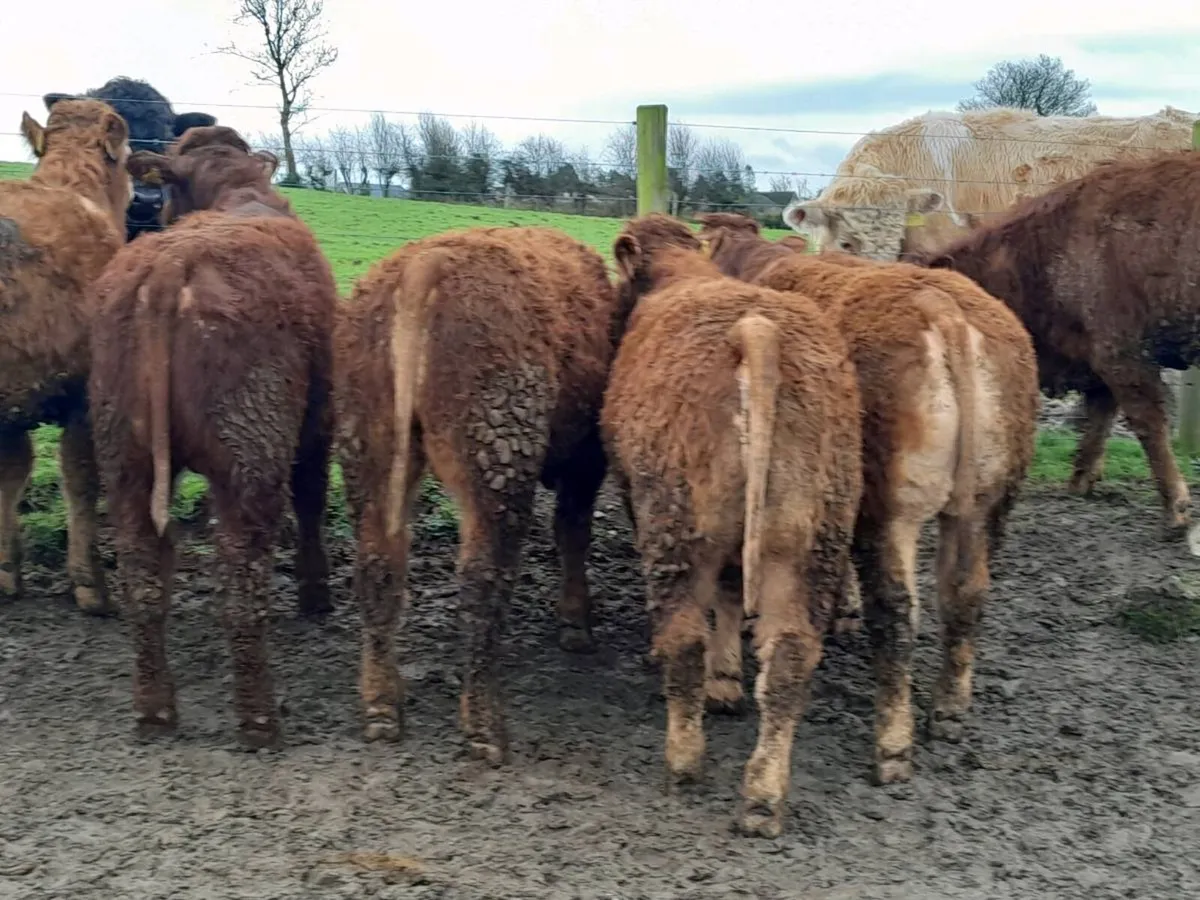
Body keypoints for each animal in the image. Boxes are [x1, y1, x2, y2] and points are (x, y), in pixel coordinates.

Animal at [86, 125, 338, 748]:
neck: (236, 192)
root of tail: (172, 261)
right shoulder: (320, 414)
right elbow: (313, 497)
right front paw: (316, 594)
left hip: (123, 456)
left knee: (142, 570)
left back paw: (154, 709)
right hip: (252, 453)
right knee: (240, 573)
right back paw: (259, 719)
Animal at [334, 224, 620, 762]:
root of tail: (423, 264)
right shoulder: (587, 458)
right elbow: (573, 531)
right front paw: (576, 623)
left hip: (367, 446)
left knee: (378, 567)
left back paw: (382, 705)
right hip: (497, 456)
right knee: (482, 581)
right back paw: (485, 727)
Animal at [602, 213, 862, 838]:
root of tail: (756, 329)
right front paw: (727, 682)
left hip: (675, 522)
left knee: (683, 641)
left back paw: (684, 763)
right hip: (813, 539)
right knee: (791, 658)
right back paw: (763, 797)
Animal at [738, 248, 1038, 784]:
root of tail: (942, 306)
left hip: (891, 510)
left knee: (897, 610)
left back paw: (893, 746)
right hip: (985, 501)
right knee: (966, 595)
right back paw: (949, 710)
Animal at [902, 148, 1200, 538]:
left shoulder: (1122, 355)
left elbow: (1146, 422)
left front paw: (1176, 511)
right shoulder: (1101, 361)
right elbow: (1099, 417)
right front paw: (1080, 482)